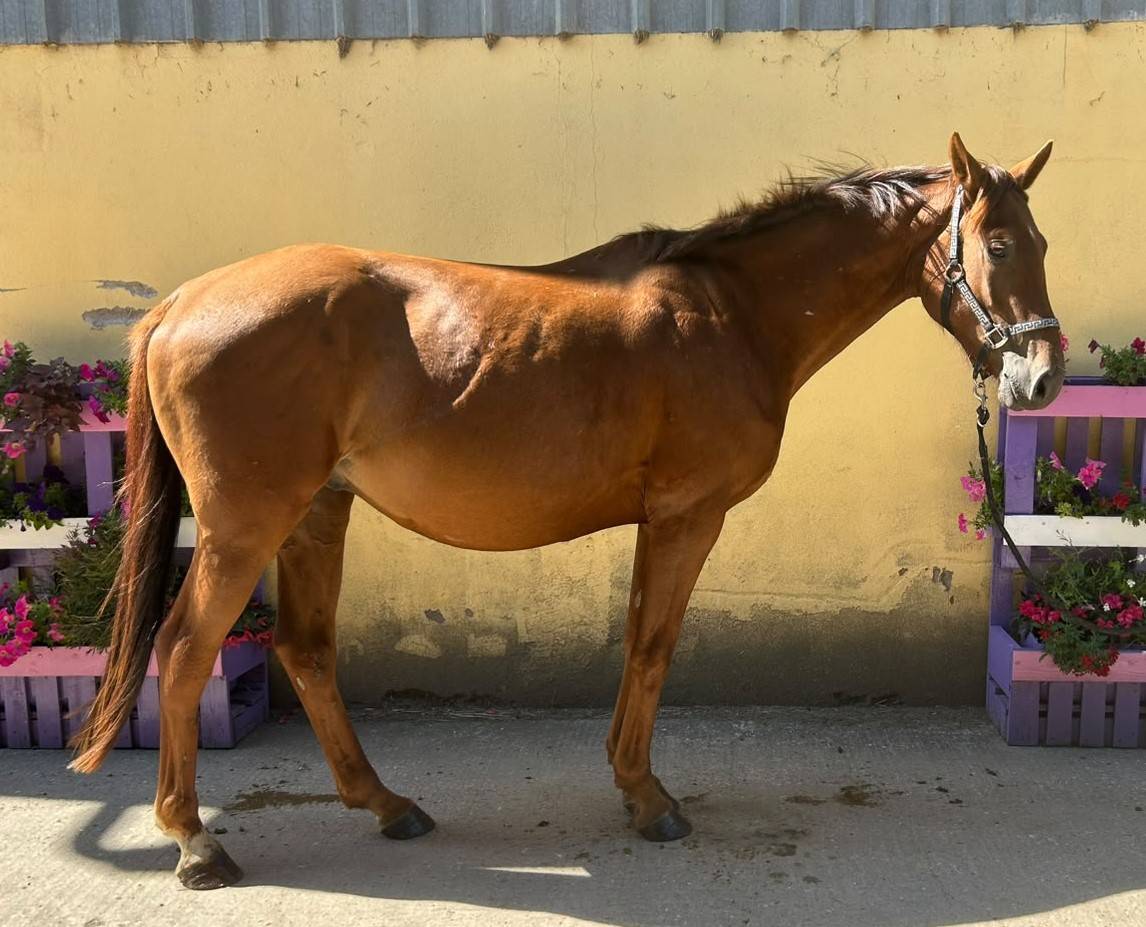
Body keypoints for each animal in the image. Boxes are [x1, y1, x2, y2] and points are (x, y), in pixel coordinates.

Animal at [70, 133, 1063, 889]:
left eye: (1042, 242)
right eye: (998, 246)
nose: (1042, 378)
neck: (734, 313)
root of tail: (179, 305)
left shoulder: (660, 519)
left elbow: (636, 641)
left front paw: (630, 782)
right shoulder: (687, 515)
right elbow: (653, 645)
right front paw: (649, 798)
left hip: (318, 512)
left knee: (306, 651)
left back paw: (386, 805)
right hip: (246, 526)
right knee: (183, 649)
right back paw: (196, 840)